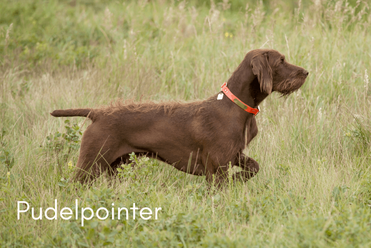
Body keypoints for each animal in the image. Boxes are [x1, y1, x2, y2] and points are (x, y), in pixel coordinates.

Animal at [50, 48, 310, 185]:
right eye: (281, 61)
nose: (306, 72)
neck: (235, 107)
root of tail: (97, 112)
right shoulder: (216, 167)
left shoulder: (234, 154)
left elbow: (254, 167)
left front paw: (240, 177)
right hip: (90, 165)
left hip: (113, 167)